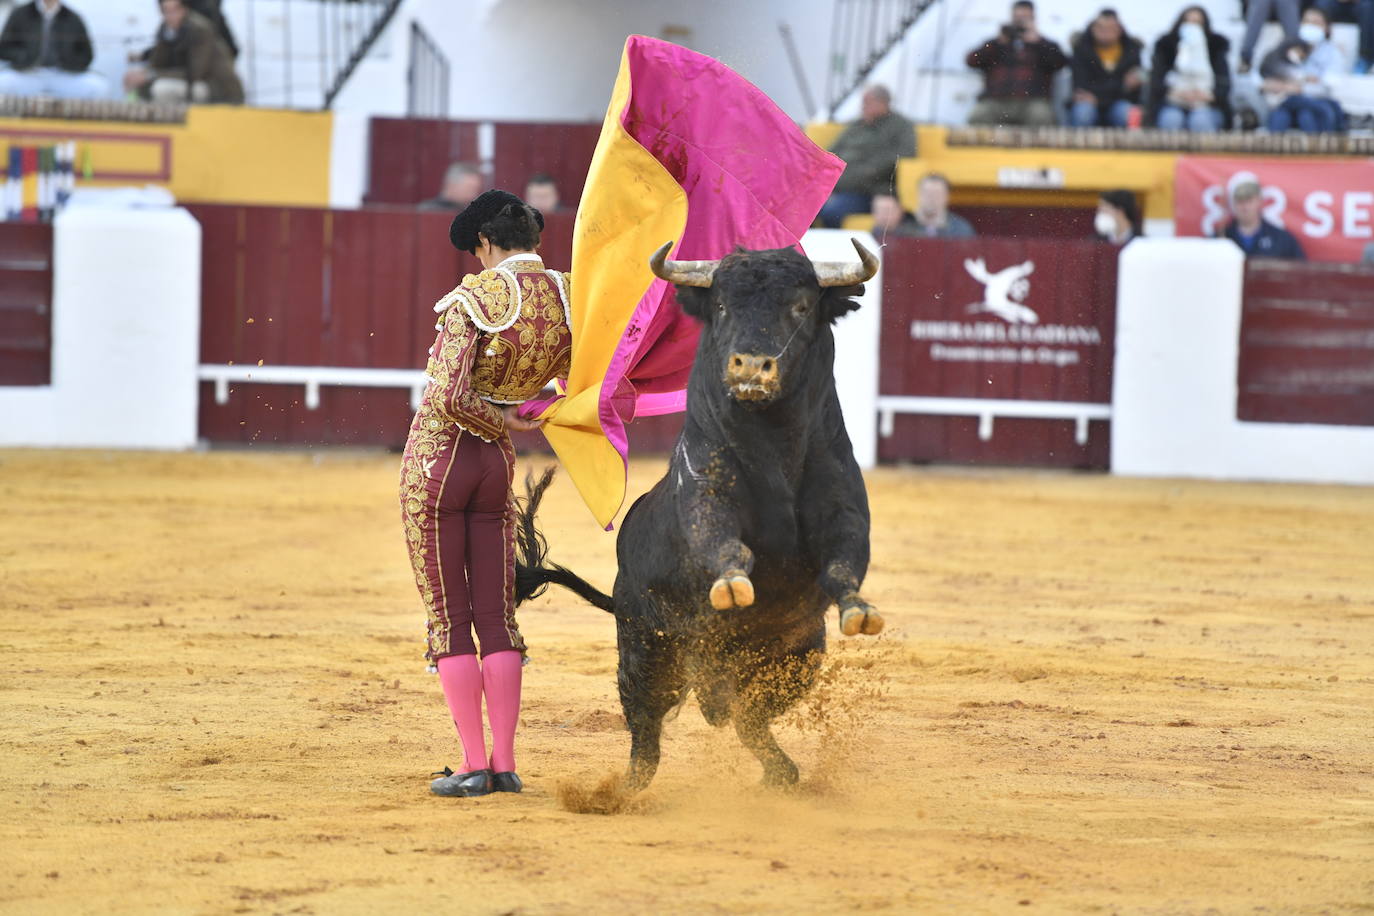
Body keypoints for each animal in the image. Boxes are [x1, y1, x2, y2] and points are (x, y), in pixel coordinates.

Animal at [513, 241, 879, 791]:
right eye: (722, 306)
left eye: (801, 307)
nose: (751, 366)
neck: (773, 448)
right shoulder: (707, 499)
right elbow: (723, 541)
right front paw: (731, 586)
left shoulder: (844, 512)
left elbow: (844, 560)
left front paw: (859, 611)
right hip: (645, 648)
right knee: (646, 731)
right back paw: (620, 792)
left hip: (797, 658)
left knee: (748, 718)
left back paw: (781, 774)